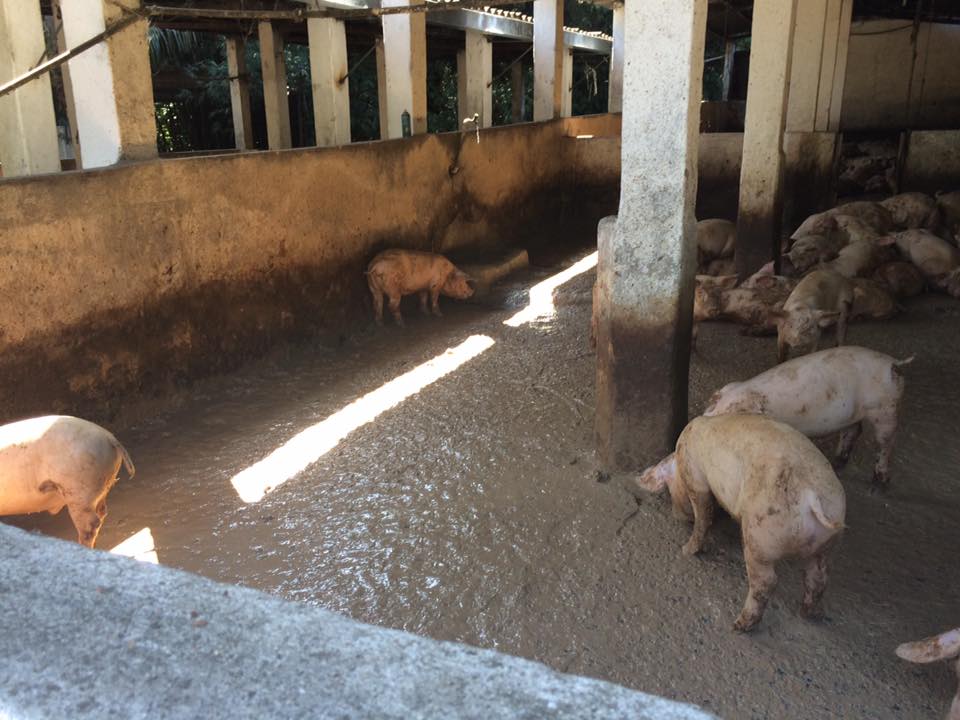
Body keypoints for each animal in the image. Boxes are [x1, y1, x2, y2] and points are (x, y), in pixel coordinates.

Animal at [637, 414, 846, 632]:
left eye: (670, 489)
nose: (676, 515)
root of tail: (811, 496)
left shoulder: (695, 478)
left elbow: (703, 514)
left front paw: (686, 550)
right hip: (826, 544)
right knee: (818, 577)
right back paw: (806, 613)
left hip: (761, 536)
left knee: (766, 581)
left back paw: (739, 625)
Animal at [704, 346, 912, 487]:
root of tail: (893, 362)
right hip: (855, 414)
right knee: (853, 431)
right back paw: (837, 462)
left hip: (886, 409)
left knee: (885, 443)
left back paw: (880, 480)